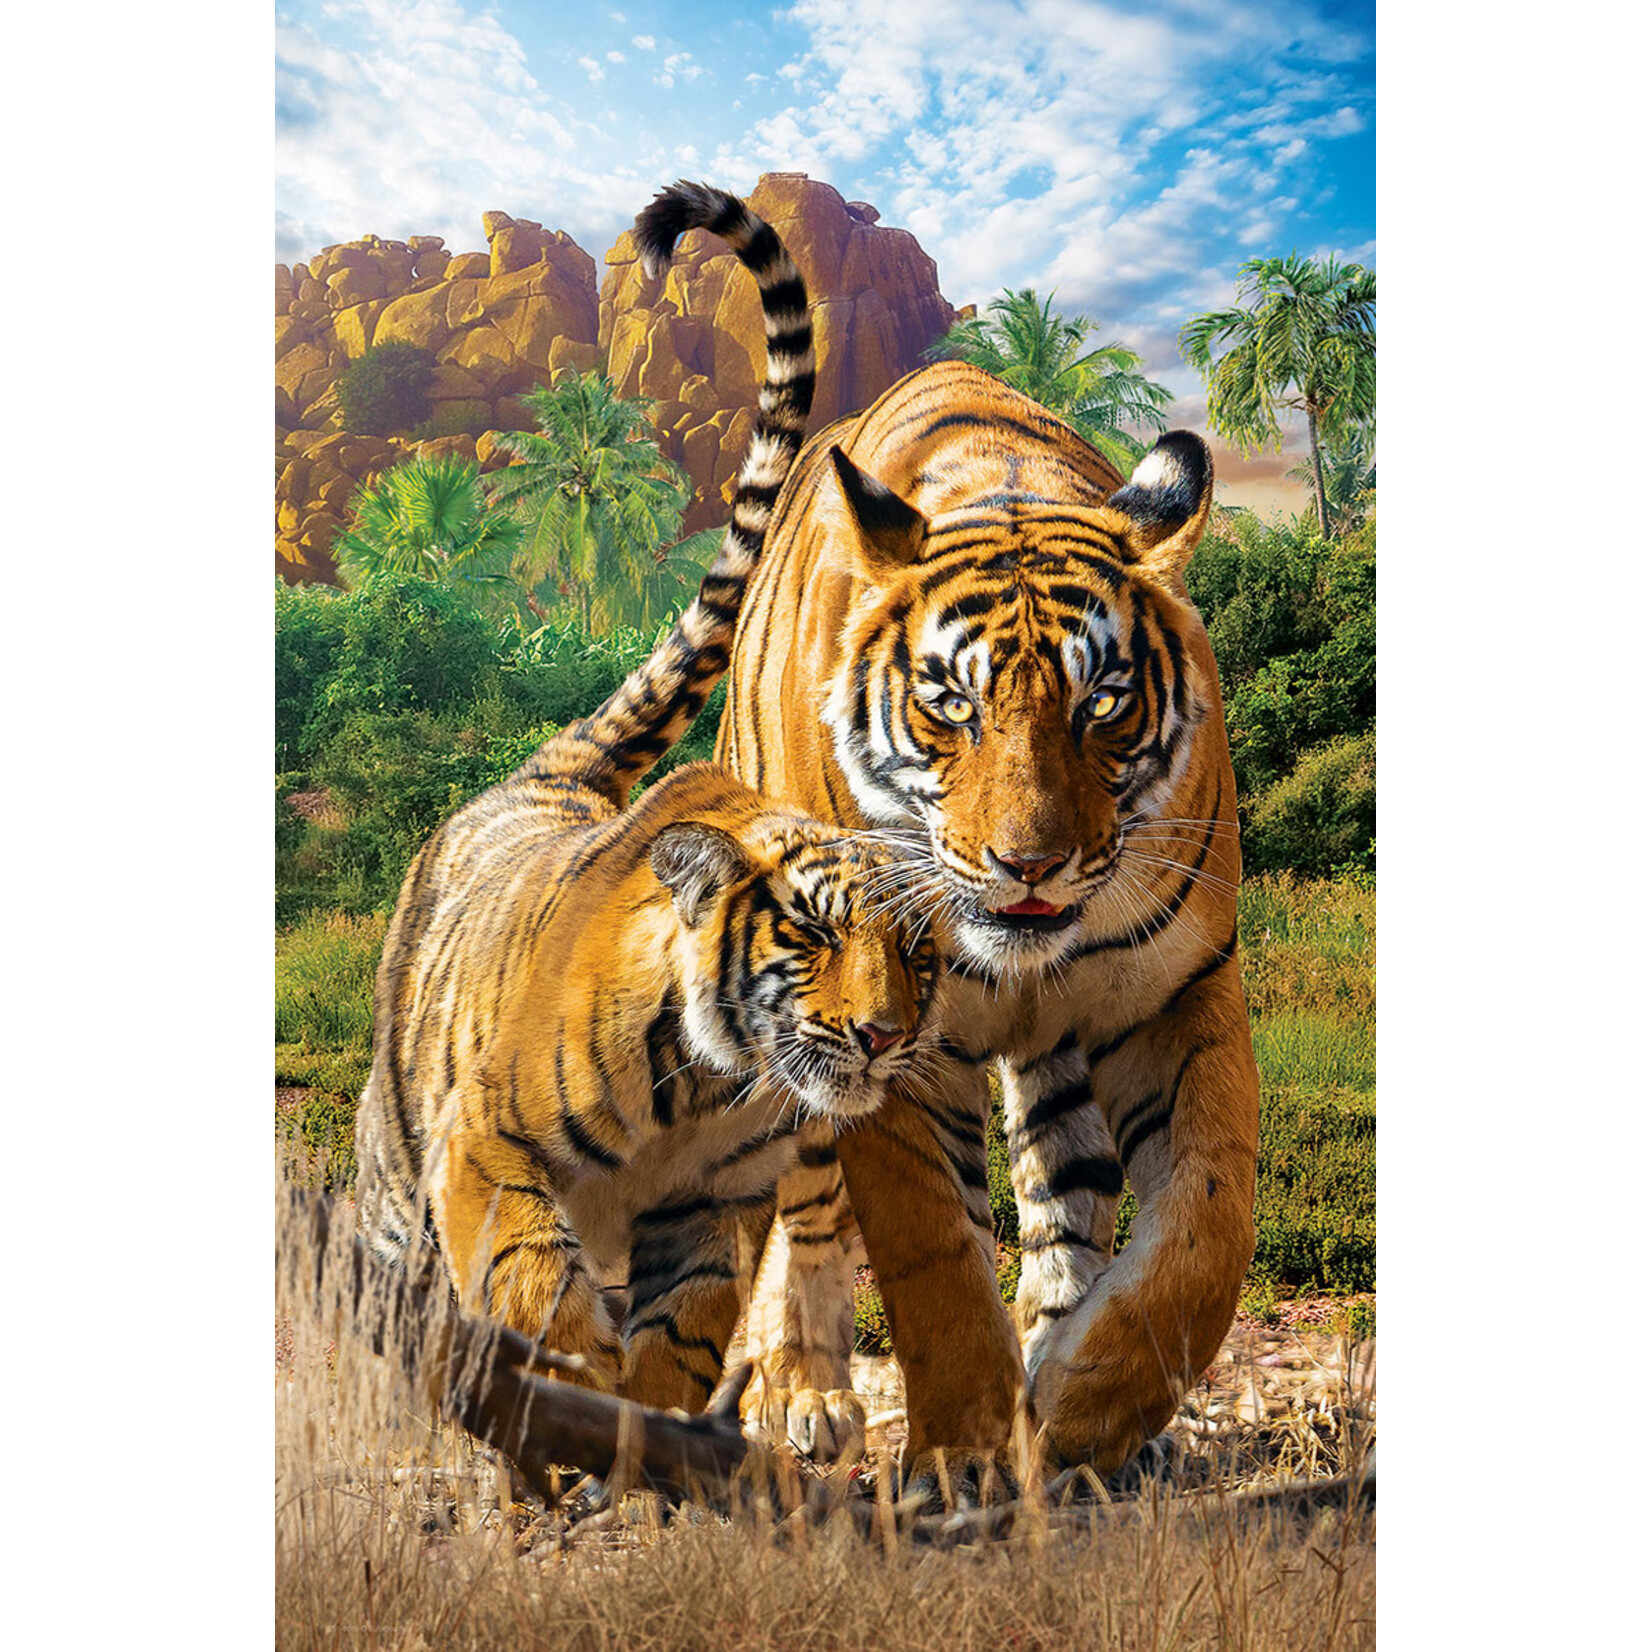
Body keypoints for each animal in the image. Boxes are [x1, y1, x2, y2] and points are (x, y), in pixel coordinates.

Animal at [352, 182, 941, 1420]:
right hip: (395, 1159)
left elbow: (685, 1328)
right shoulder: (485, 1145)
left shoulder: (717, 1206)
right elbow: (534, 1279)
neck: (711, 1090)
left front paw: (649, 1421)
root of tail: (544, 776)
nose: (881, 1035)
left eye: (918, 952)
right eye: (811, 932)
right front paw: (567, 1385)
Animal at [717, 356, 1260, 1479]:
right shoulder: (884, 1045)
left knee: (1066, 1192)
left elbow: (1205, 1227)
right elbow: (934, 1255)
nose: (1029, 864)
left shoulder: (1178, 992)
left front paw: (1084, 1408)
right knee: (801, 1202)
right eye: (952, 706)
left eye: (1101, 703)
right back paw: (801, 1395)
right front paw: (962, 1459)